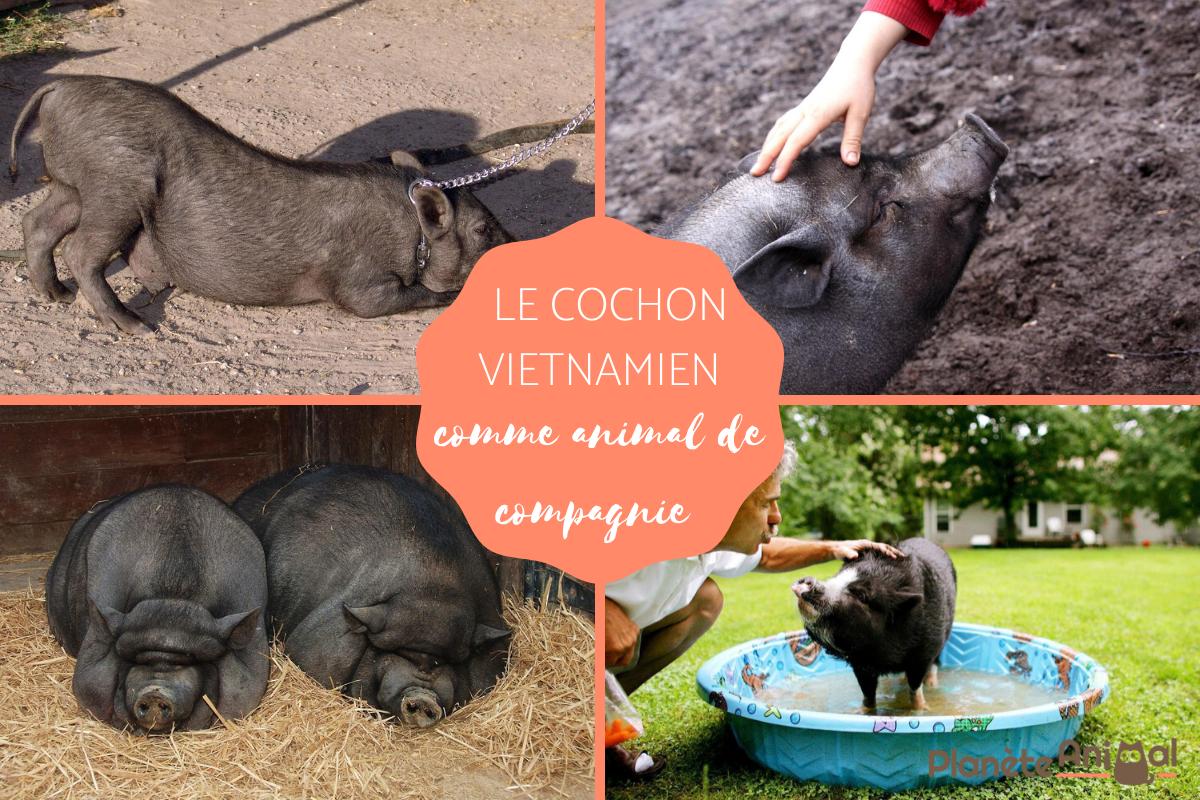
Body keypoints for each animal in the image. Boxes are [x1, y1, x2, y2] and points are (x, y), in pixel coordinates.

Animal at [9, 76, 512, 335]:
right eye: (484, 230)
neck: (410, 231)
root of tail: (61, 87)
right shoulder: (359, 285)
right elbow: (394, 298)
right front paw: (450, 296)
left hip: (75, 186)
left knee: (37, 222)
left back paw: (56, 296)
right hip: (116, 187)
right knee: (79, 250)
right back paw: (135, 327)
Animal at [791, 537, 955, 711]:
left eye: (862, 595)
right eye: (838, 575)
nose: (808, 581)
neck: (878, 656)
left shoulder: (923, 654)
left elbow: (915, 688)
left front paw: (923, 709)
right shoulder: (860, 666)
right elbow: (868, 695)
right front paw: (861, 711)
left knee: (935, 664)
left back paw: (932, 685)